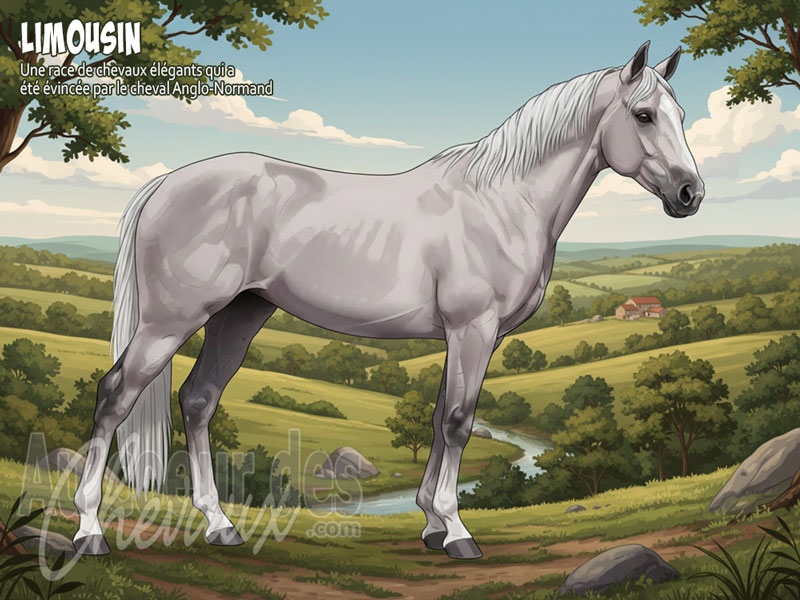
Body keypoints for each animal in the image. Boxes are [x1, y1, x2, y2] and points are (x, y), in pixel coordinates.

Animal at [72, 41, 704, 560]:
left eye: (681, 116)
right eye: (643, 115)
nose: (690, 194)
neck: (502, 202)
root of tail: (165, 184)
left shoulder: (463, 336)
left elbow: (439, 419)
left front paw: (430, 525)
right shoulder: (473, 329)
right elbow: (459, 422)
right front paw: (457, 532)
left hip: (240, 314)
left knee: (198, 400)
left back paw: (220, 524)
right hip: (170, 320)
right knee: (115, 395)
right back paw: (90, 531)